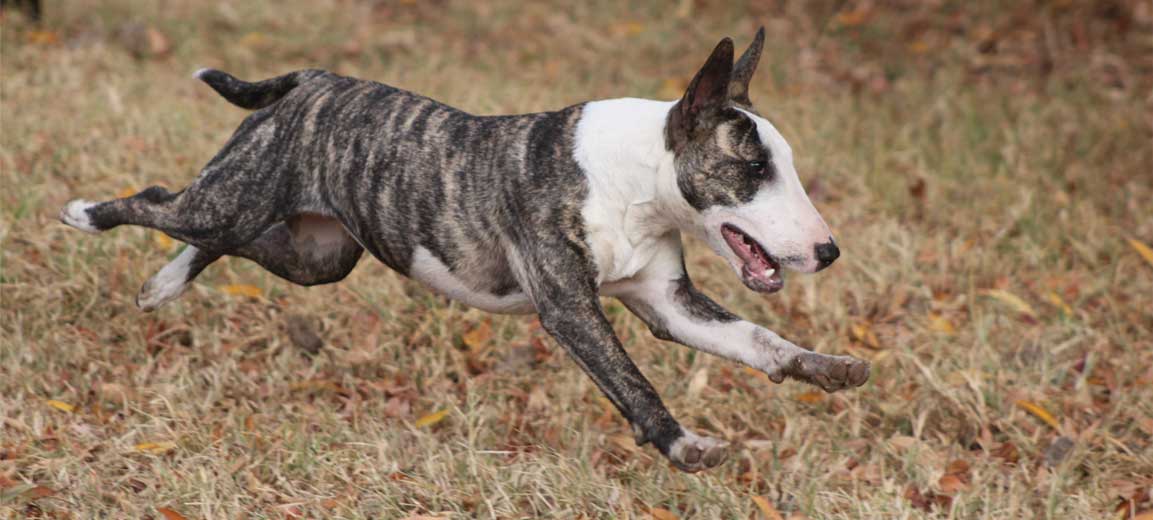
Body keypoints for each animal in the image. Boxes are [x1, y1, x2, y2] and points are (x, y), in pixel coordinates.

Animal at [56, 30, 867, 475]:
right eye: (753, 169)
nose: (827, 251)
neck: (635, 177)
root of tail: (309, 81)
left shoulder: (668, 303)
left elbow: (755, 338)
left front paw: (824, 368)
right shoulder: (569, 308)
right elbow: (633, 383)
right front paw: (683, 447)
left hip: (318, 257)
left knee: (225, 242)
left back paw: (163, 284)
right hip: (231, 199)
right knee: (162, 201)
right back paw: (86, 215)